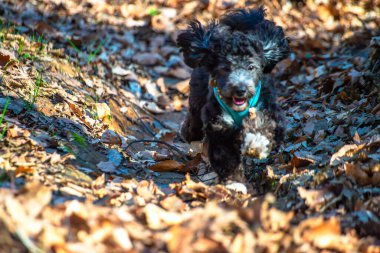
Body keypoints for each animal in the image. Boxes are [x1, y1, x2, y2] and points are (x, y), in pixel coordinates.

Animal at [177, 6, 290, 184]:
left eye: (251, 67)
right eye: (225, 68)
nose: (240, 89)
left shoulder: (270, 110)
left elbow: (265, 124)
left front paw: (256, 142)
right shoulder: (218, 126)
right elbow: (226, 159)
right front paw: (235, 184)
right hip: (197, 101)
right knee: (193, 123)